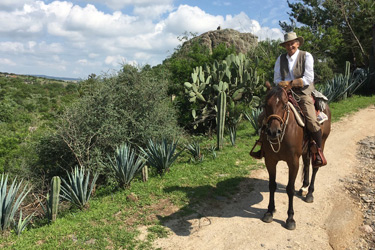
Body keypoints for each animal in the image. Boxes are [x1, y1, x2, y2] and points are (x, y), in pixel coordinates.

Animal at [262, 82, 332, 230]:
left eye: (284, 105)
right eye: (265, 105)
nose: (273, 132)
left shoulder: (293, 162)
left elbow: (290, 189)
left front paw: (290, 218)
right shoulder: (270, 161)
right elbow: (272, 185)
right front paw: (270, 211)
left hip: (321, 142)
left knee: (315, 167)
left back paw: (310, 193)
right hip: (306, 150)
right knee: (306, 163)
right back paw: (304, 187)